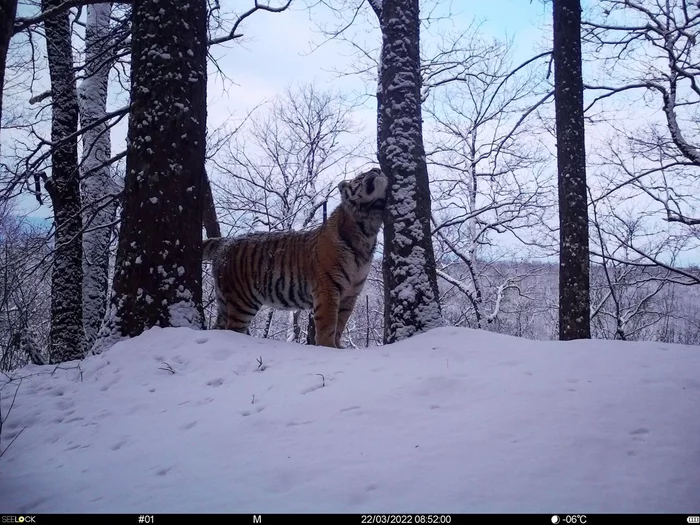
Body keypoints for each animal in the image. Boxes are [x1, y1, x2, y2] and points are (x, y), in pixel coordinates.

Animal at [201, 168, 388, 348]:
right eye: (361, 176)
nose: (377, 169)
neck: (367, 229)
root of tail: (226, 241)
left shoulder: (350, 294)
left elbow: (340, 325)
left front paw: (338, 347)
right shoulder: (327, 288)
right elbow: (328, 325)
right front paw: (328, 347)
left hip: (225, 302)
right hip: (242, 302)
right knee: (232, 329)